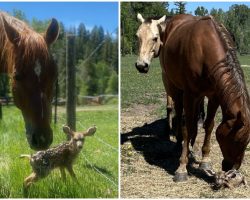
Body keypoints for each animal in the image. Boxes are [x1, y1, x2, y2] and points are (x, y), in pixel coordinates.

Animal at [136, 14, 250, 182]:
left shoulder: (214, 96)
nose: (232, 170)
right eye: (236, 140)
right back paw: (179, 142)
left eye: (247, 142)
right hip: (173, 85)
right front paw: (182, 167)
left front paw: (205, 160)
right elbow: (188, 127)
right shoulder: (190, 94)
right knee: (178, 111)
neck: (205, 49)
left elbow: (209, 125)